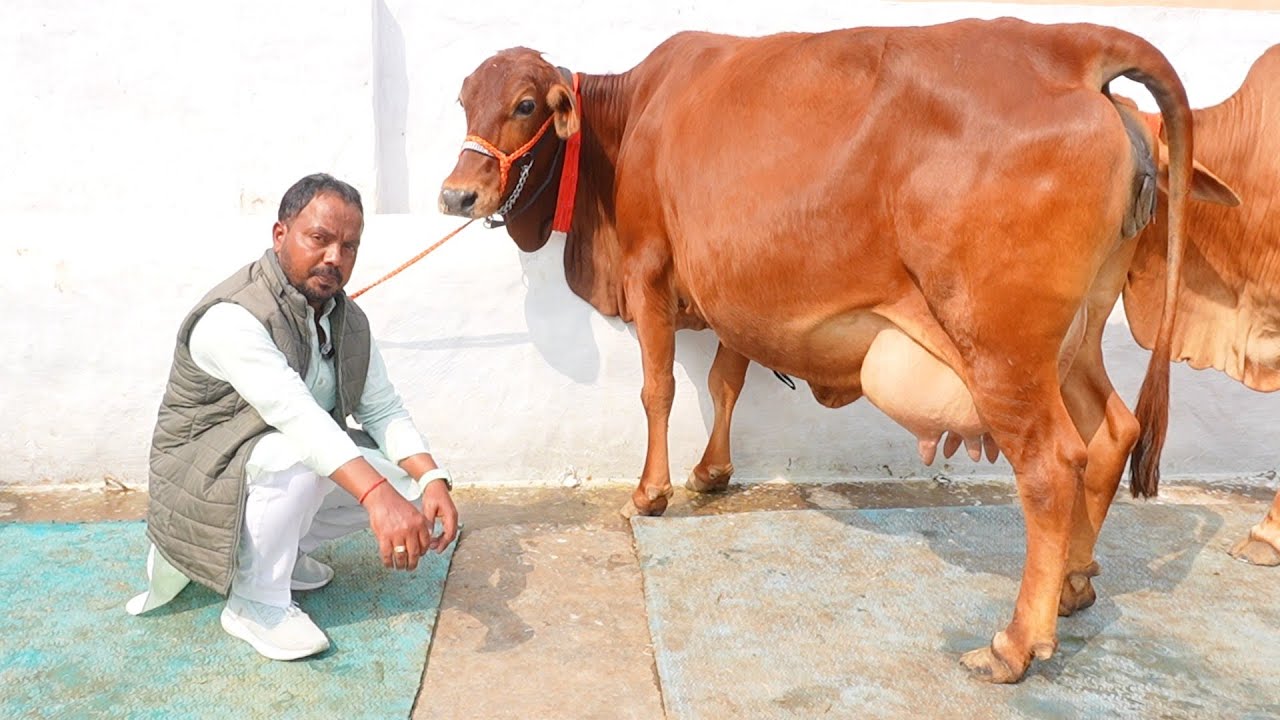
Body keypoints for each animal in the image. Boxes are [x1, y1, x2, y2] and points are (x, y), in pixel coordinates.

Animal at [438, 18, 1196, 683]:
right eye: (464, 100)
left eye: (525, 104)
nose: (456, 195)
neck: (630, 123)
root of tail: (1071, 46)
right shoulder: (733, 291)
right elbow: (726, 380)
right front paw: (711, 472)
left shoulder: (648, 266)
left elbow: (659, 388)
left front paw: (650, 493)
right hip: (1077, 337)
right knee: (1114, 431)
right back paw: (1073, 584)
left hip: (1003, 348)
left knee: (1052, 466)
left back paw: (1013, 644)